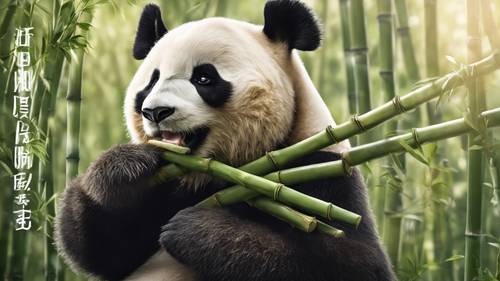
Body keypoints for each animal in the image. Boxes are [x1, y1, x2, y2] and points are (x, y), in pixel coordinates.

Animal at [54, 0, 396, 280]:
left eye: (204, 77)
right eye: (151, 82)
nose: (155, 111)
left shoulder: (322, 171)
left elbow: (354, 262)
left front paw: (196, 230)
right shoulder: (165, 189)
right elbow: (107, 249)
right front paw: (124, 168)